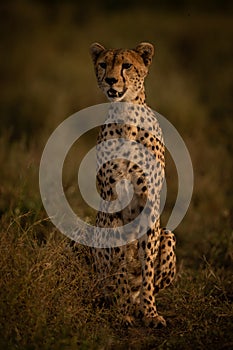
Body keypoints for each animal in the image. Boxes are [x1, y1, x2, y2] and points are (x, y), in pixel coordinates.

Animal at [90, 42, 176, 326]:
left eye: (126, 65)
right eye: (104, 64)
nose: (111, 80)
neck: (126, 113)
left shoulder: (149, 205)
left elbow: (147, 265)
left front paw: (149, 313)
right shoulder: (112, 202)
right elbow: (119, 259)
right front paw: (122, 311)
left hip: (168, 235)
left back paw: (137, 304)